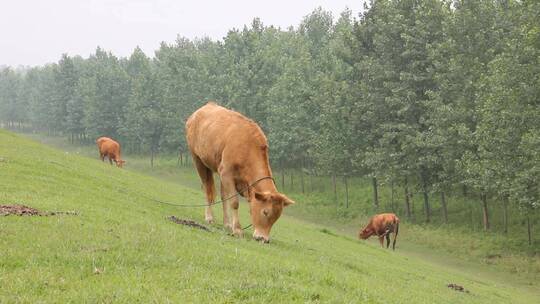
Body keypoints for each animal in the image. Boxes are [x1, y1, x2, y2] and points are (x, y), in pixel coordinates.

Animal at [186, 101, 296, 242]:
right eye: (265, 212)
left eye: (277, 217)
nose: (264, 239)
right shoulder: (227, 172)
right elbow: (234, 202)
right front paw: (237, 230)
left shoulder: (225, 174)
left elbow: (227, 198)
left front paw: (230, 225)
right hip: (197, 159)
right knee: (207, 189)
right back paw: (209, 217)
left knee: (222, 195)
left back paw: (227, 223)